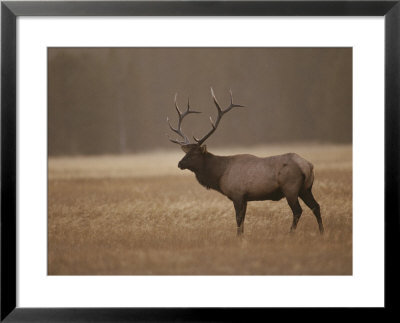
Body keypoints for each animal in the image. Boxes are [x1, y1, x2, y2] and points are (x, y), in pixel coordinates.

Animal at [167, 90, 324, 237]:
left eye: (194, 154)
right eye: (186, 152)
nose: (179, 164)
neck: (220, 175)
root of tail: (307, 166)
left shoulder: (237, 194)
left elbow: (238, 219)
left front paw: (239, 238)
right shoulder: (246, 198)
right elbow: (242, 220)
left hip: (290, 187)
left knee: (298, 210)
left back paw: (290, 233)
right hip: (306, 188)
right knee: (316, 206)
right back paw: (322, 232)